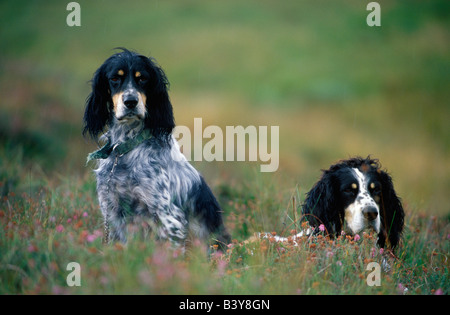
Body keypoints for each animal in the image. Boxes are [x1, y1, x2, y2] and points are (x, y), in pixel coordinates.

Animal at [82, 48, 229, 249]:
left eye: (143, 78)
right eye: (114, 78)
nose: (131, 101)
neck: (126, 149)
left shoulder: (169, 217)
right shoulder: (113, 210)